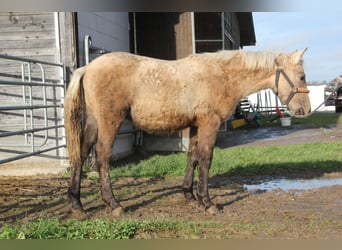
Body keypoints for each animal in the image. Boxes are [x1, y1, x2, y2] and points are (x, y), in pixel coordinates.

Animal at [63, 49, 310, 217]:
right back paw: (114, 205)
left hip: (94, 122)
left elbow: (192, 157)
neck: (222, 75)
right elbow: (206, 159)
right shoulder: (209, 124)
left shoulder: (194, 126)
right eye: (302, 76)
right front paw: (207, 202)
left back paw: (77, 203)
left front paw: (190, 196)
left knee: (81, 154)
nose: (305, 110)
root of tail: (88, 68)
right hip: (109, 122)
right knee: (102, 157)